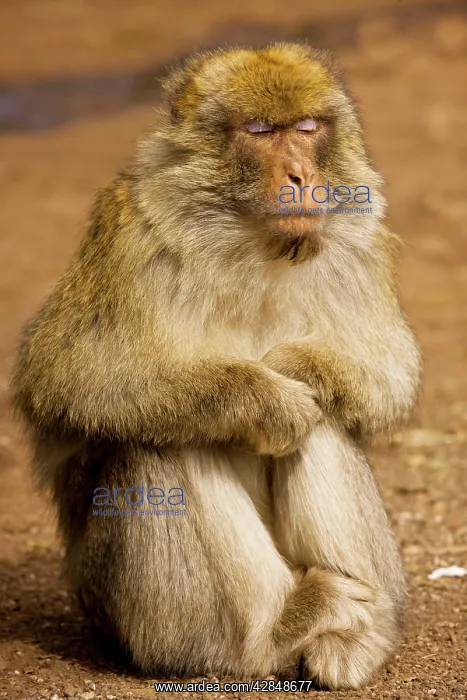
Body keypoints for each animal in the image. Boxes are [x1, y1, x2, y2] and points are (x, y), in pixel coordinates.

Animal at [11, 42, 421, 690]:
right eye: (260, 132)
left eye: (307, 128)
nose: (302, 176)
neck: (252, 242)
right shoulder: (130, 236)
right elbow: (68, 378)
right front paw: (263, 398)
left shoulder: (361, 246)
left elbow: (387, 370)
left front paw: (294, 365)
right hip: (124, 614)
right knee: (159, 441)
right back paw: (276, 631)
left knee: (324, 419)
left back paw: (348, 641)